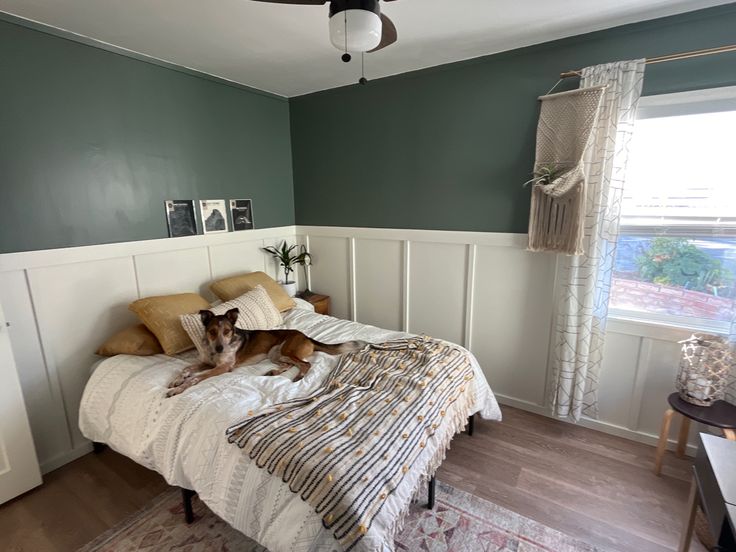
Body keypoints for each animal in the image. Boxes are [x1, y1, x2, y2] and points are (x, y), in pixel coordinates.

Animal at [165, 306, 364, 396]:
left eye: (227, 331)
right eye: (212, 332)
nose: (220, 348)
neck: (215, 352)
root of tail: (306, 336)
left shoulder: (223, 367)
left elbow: (196, 378)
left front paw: (180, 387)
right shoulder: (206, 362)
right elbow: (186, 368)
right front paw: (177, 380)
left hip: (287, 349)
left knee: (306, 365)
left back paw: (298, 376)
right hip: (275, 353)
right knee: (289, 364)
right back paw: (274, 372)